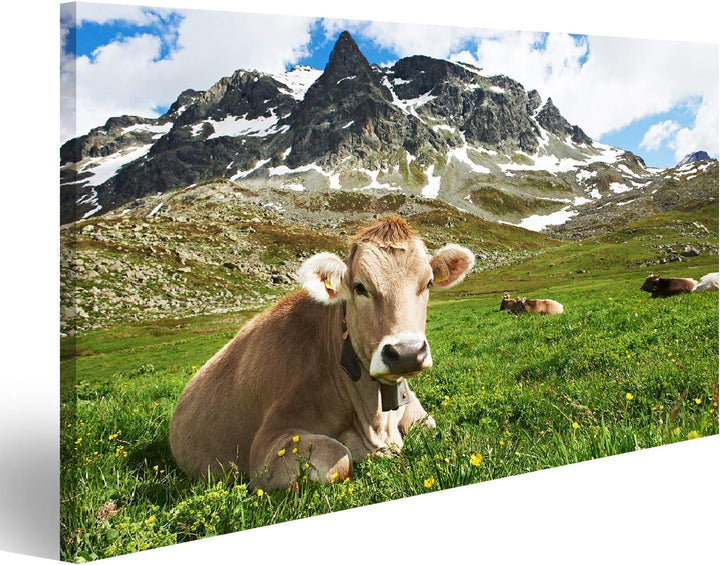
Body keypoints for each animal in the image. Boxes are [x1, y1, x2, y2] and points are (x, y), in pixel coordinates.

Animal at [169, 216, 475, 490]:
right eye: (359, 287)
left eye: (428, 283)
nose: (407, 352)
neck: (375, 422)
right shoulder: (265, 448)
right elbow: (339, 457)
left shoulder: (418, 414)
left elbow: (430, 424)